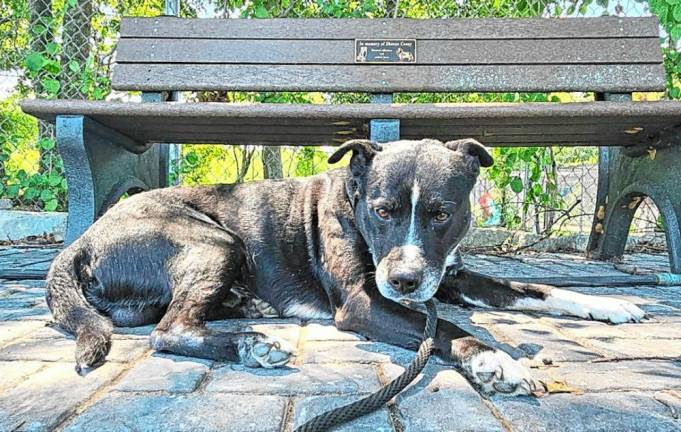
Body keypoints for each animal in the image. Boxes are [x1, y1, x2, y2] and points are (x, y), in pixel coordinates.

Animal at [46, 139, 644, 394]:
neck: (353, 203)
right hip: (214, 241)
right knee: (168, 330)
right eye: (382, 211)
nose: (404, 281)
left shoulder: (452, 275)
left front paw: (608, 304)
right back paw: (249, 343)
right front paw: (495, 360)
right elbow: (444, 328)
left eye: (441, 212)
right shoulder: (363, 301)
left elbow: (530, 288)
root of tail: (83, 239)